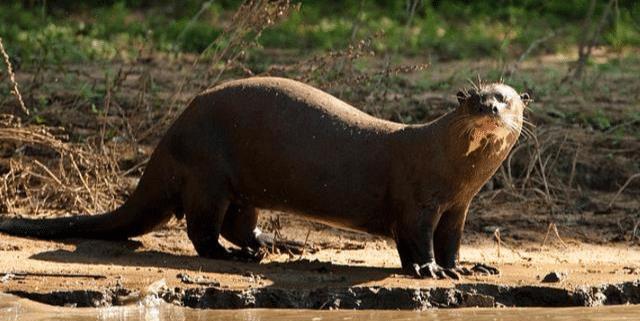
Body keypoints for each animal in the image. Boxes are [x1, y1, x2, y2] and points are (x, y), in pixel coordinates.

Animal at [0, 77, 528, 278]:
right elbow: (415, 243)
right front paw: (430, 271)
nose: (489, 108)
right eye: (473, 97)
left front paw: (467, 267)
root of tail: (168, 138)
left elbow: (451, 241)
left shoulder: (457, 208)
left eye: (506, 97)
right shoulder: (415, 202)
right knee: (202, 230)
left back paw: (273, 245)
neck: (451, 172)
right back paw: (234, 257)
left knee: (238, 223)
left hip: (243, 188)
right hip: (207, 171)